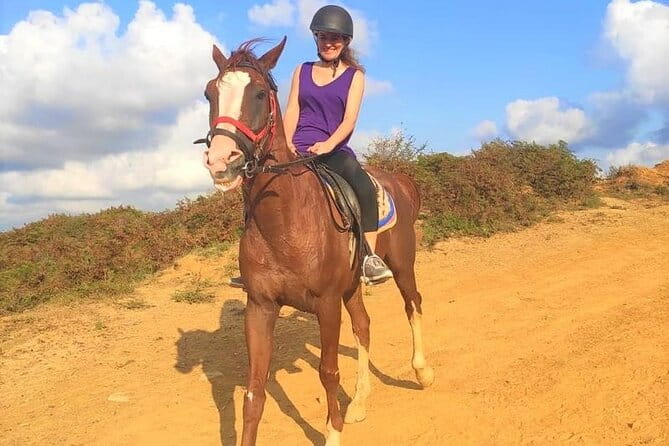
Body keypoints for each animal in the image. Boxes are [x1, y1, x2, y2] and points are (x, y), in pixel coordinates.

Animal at [199, 37, 434, 446]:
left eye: (259, 93)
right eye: (210, 92)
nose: (221, 161)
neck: (285, 222)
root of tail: (400, 181)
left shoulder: (326, 304)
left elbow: (328, 371)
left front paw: (332, 433)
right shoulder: (260, 307)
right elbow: (254, 391)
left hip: (403, 265)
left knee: (413, 304)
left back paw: (421, 372)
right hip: (352, 286)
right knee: (364, 326)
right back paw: (359, 403)